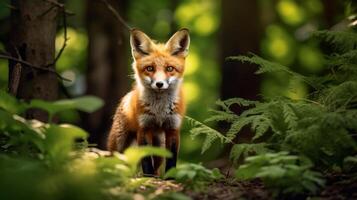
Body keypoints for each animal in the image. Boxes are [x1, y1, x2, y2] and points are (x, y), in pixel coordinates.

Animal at [105, 28, 189, 175]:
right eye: (150, 68)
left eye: (170, 69)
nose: (159, 84)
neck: (159, 110)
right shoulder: (143, 128)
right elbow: (145, 160)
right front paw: (147, 176)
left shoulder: (173, 128)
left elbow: (171, 160)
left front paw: (171, 177)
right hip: (119, 142)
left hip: (159, 146)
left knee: (156, 165)